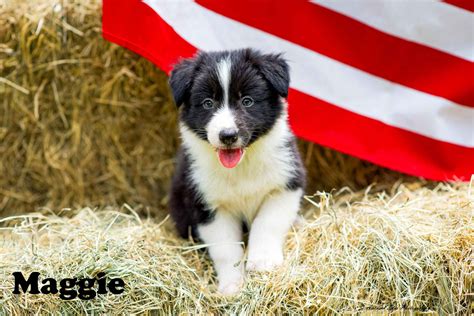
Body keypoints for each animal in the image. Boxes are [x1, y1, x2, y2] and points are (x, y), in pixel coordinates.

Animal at [168, 48, 306, 296]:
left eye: (247, 101)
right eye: (208, 103)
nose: (228, 135)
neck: (242, 166)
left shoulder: (285, 184)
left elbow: (267, 223)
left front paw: (263, 263)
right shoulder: (206, 204)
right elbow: (226, 249)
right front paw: (232, 285)